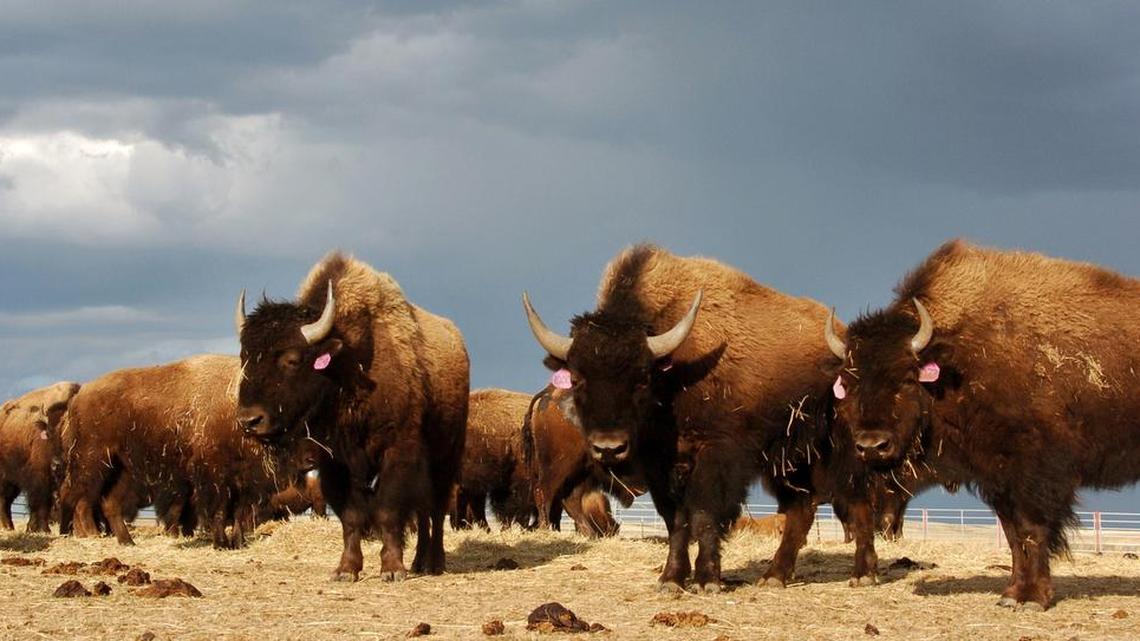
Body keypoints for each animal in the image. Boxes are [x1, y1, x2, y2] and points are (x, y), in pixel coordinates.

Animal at [234, 252, 468, 581]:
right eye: (244, 356)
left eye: (292, 359)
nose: (250, 421)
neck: (346, 365)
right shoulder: (334, 463)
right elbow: (351, 515)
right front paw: (347, 569)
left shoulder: (396, 452)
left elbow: (388, 510)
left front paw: (392, 569)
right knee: (424, 512)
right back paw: (420, 562)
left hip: (445, 457)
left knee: (434, 509)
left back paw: (434, 563)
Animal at [826, 239, 1140, 609]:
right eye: (850, 383)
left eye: (906, 378)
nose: (872, 445)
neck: (958, 357)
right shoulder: (997, 478)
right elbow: (1013, 536)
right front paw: (1012, 593)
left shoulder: (1036, 475)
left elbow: (1032, 531)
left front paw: (1033, 598)